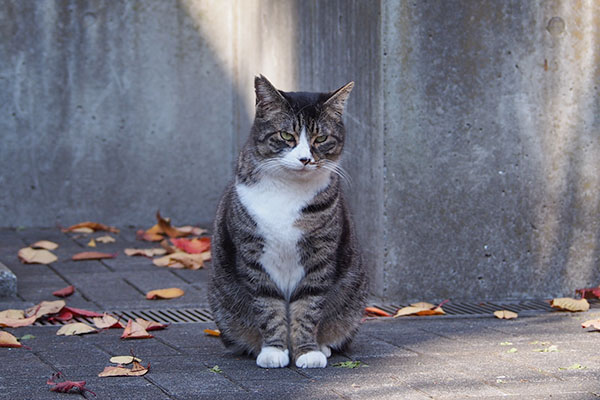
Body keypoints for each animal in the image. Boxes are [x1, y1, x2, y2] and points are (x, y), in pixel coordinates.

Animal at [209, 75, 368, 368]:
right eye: (286, 136)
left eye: (321, 138)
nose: (305, 159)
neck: (287, 190)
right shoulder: (253, 254)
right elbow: (268, 305)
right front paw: (273, 351)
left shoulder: (319, 256)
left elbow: (308, 306)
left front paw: (308, 352)